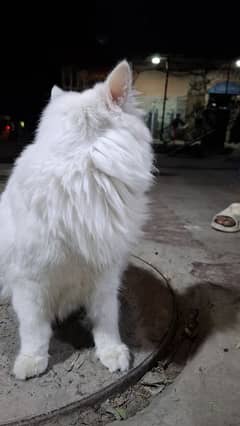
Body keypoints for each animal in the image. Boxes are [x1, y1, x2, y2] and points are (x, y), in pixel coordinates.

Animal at [0, 60, 153, 380]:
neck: (80, 165)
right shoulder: (29, 278)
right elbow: (34, 329)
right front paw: (31, 361)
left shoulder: (106, 273)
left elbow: (107, 320)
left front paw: (111, 352)